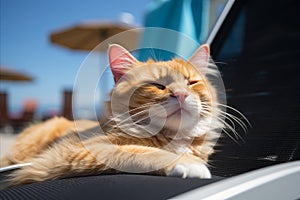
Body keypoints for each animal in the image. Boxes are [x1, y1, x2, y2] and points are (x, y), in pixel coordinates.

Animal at [0, 43, 226, 188]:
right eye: (158, 85)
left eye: (191, 83)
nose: (181, 94)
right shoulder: (80, 150)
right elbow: (142, 152)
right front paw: (189, 163)